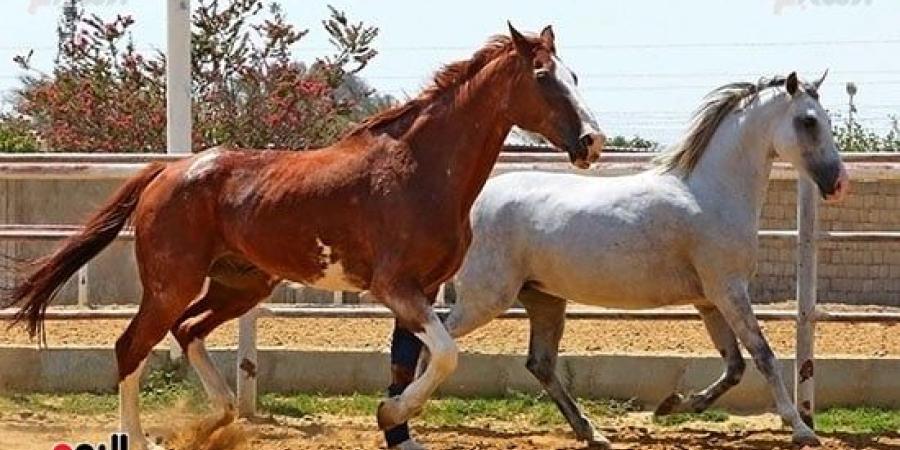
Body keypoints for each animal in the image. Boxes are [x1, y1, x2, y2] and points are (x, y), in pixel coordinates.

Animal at [3, 23, 604, 450]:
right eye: (544, 75)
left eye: (575, 76)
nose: (592, 142)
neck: (420, 169)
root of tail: (168, 172)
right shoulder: (395, 287)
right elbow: (447, 355)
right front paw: (391, 416)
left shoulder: (423, 290)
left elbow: (408, 362)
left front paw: (397, 430)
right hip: (172, 282)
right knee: (132, 346)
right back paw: (144, 437)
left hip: (241, 285)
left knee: (188, 329)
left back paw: (218, 417)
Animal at [440, 72, 848, 448]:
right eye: (808, 121)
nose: (838, 183)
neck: (711, 192)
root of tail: (470, 204)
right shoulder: (729, 290)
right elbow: (763, 356)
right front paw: (802, 430)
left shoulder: (709, 300)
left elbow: (735, 366)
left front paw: (672, 405)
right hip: (487, 298)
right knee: (438, 339)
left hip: (544, 299)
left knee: (539, 363)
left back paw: (592, 433)